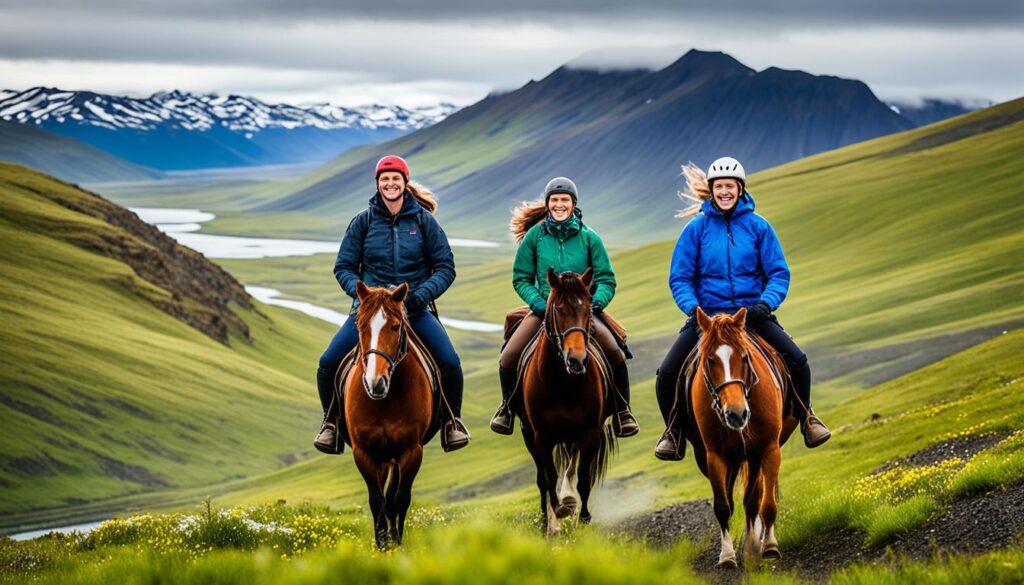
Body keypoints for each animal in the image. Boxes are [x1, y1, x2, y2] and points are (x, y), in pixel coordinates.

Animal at [344, 280, 432, 553]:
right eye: (360, 326)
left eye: (395, 326)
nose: (376, 383)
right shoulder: (363, 452)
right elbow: (377, 500)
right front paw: (381, 546)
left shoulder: (411, 450)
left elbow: (399, 499)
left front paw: (396, 543)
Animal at [524, 268, 610, 536]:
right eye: (558, 309)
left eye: (589, 309)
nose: (576, 360)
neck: (563, 383)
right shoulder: (541, 436)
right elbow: (549, 476)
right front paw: (556, 515)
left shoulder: (590, 432)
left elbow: (583, 477)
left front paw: (582, 516)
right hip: (529, 435)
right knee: (542, 478)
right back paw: (548, 520)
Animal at [688, 307, 798, 569]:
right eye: (709, 360)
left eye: (745, 357)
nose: (736, 414)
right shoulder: (715, 456)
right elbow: (722, 505)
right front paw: (727, 555)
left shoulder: (767, 449)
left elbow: (764, 503)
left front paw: (764, 547)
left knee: (757, 496)